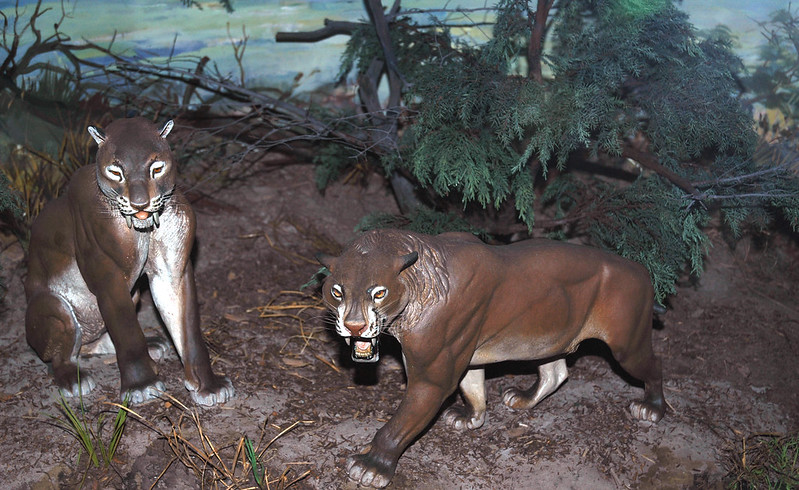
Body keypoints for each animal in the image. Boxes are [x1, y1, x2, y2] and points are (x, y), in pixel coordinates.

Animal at [22, 116, 234, 406]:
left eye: (156, 168)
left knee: (91, 344)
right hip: (55, 307)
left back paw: (154, 344)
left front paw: (208, 386)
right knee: (61, 356)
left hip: (132, 296)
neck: (144, 229)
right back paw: (74, 380)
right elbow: (127, 330)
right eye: (115, 172)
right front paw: (142, 385)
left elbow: (187, 328)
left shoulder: (173, 272)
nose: (140, 204)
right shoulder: (108, 277)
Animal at [318, 229, 664, 486]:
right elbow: (473, 388)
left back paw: (651, 408)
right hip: (547, 339)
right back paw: (522, 399)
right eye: (337, 291)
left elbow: (400, 423)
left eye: (379, 293)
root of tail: (643, 270)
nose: (354, 325)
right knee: (556, 374)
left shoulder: (432, 376)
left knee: (655, 366)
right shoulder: (464, 357)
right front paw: (471, 418)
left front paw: (372, 466)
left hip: (627, 345)